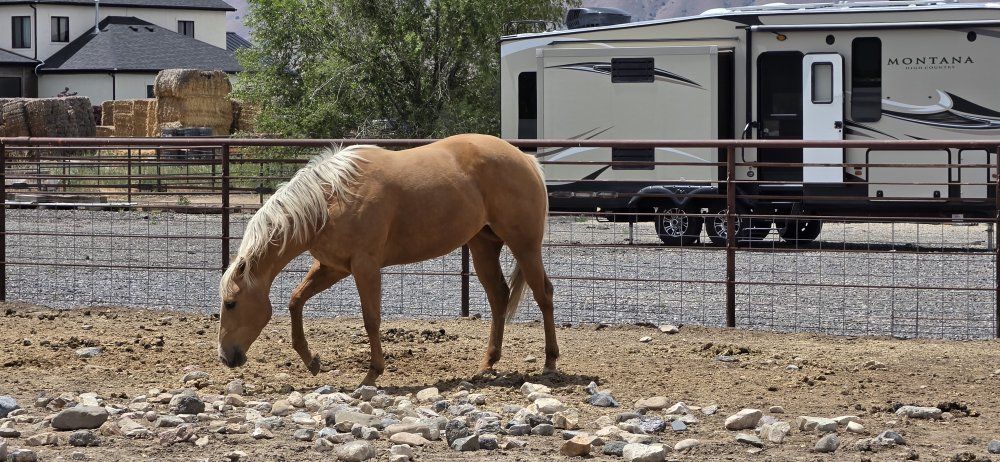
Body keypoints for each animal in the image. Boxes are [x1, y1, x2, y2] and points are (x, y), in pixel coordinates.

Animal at [217, 134, 558, 385]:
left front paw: (372, 374)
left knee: (544, 295)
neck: (330, 200)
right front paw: (311, 360)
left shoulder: (365, 266)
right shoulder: (333, 267)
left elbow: (371, 319)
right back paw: (487, 363)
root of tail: (525, 159)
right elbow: (295, 301)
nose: (224, 356)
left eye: (231, 303)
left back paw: (550, 362)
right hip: (483, 246)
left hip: (525, 246)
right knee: (499, 297)